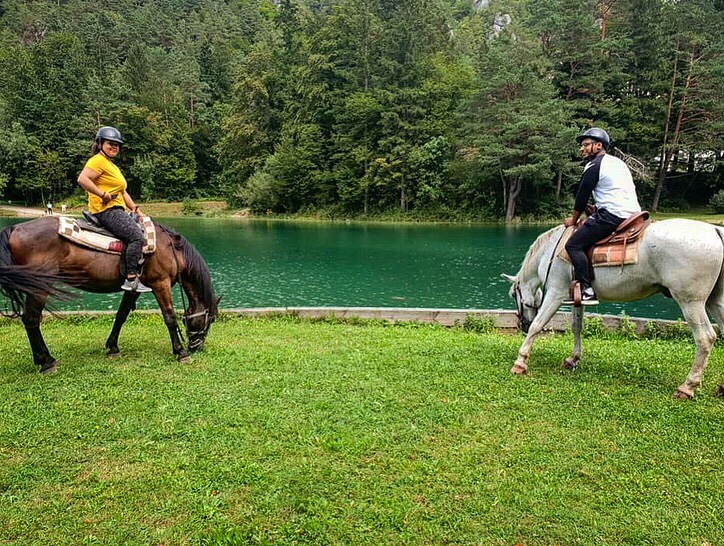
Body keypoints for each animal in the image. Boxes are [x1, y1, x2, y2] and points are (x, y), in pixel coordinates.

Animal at [0, 215, 219, 373]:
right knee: (31, 319)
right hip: (40, 286)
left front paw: (113, 347)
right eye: (210, 320)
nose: (197, 346)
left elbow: (121, 315)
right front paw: (181, 352)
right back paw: (46, 361)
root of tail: (14, 228)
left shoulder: (134, 288)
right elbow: (170, 317)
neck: (171, 249)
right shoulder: (160, 283)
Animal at [502, 218, 724, 399]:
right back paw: (720, 388)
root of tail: (714, 230)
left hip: (690, 301)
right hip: (714, 300)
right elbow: (576, 327)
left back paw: (687, 387)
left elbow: (538, 326)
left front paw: (520, 362)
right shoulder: (577, 297)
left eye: (513, 295)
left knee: (705, 338)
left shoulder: (556, 294)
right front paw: (573, 359)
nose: (521, 324)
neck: (551, 251)